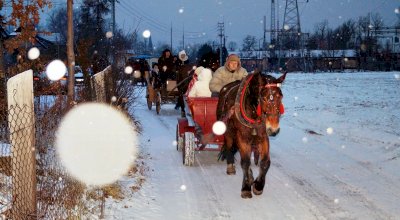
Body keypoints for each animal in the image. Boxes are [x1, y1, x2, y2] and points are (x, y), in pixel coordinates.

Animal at [217, 71, 286, 199]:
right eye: (263, 98)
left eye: (281, 96)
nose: (274, 129)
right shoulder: (242, 137)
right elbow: (245, 162)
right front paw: (246, 188)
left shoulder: (263, 136)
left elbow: (265, 162)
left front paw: (258, 185)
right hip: (229, 131)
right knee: (229, 147)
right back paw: (231, 166)